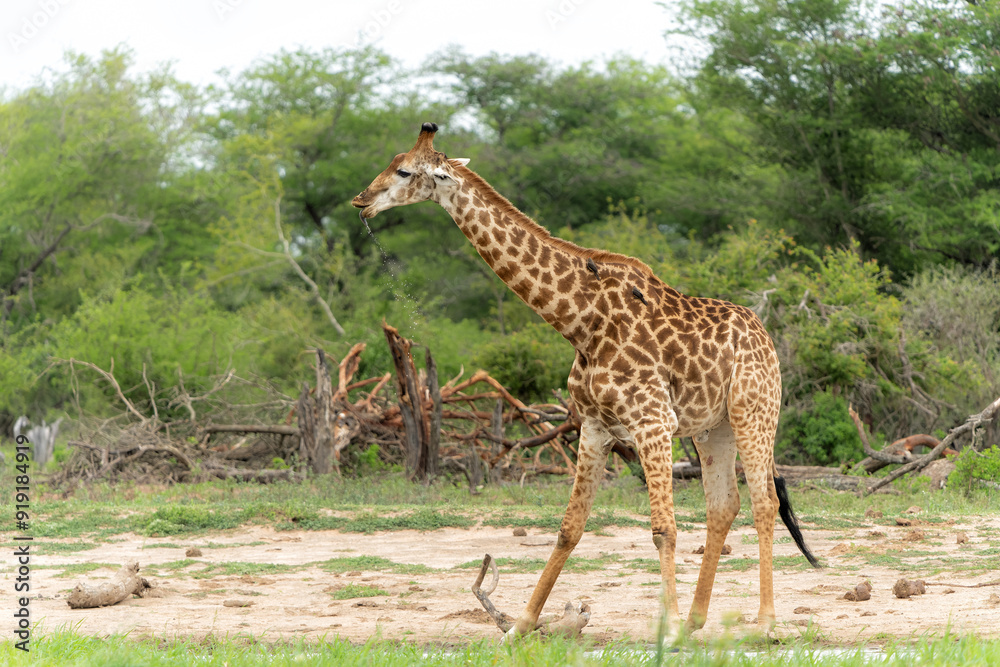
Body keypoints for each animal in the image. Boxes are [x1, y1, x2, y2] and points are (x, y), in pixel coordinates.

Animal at [352, 123, 819, 640]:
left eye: (404, 171)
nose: (360, 201)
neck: (580, 323)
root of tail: (765, 335)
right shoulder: (595, 426)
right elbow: (569, 527)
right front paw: (522, 624)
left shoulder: (652, 422)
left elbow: (663, 528)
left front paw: (667, 628)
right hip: (711, 428)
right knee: (724, 505)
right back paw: (698, 619)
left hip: (754, 412)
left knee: (763, 503)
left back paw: (764, 622)